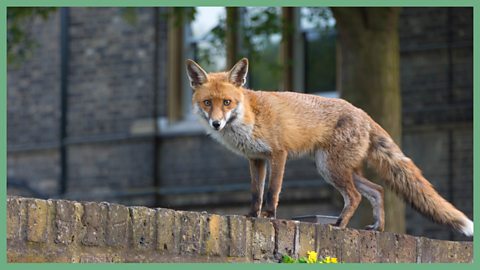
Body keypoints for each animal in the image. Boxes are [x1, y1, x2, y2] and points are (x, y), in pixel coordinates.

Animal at [186, 57, 474, 236]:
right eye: (207, 103)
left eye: (227, 102)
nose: (216, 124)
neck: (250, 117)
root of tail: (364, 113)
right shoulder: (256, 159)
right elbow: (256, 193)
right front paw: (250, 217)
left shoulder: (279, 154)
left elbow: (272, 192)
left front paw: (268, 216)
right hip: (337, 169)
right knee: (378, 190)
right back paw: (377, 228)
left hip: (330, 168)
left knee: (356, 197)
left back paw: (339, 225)